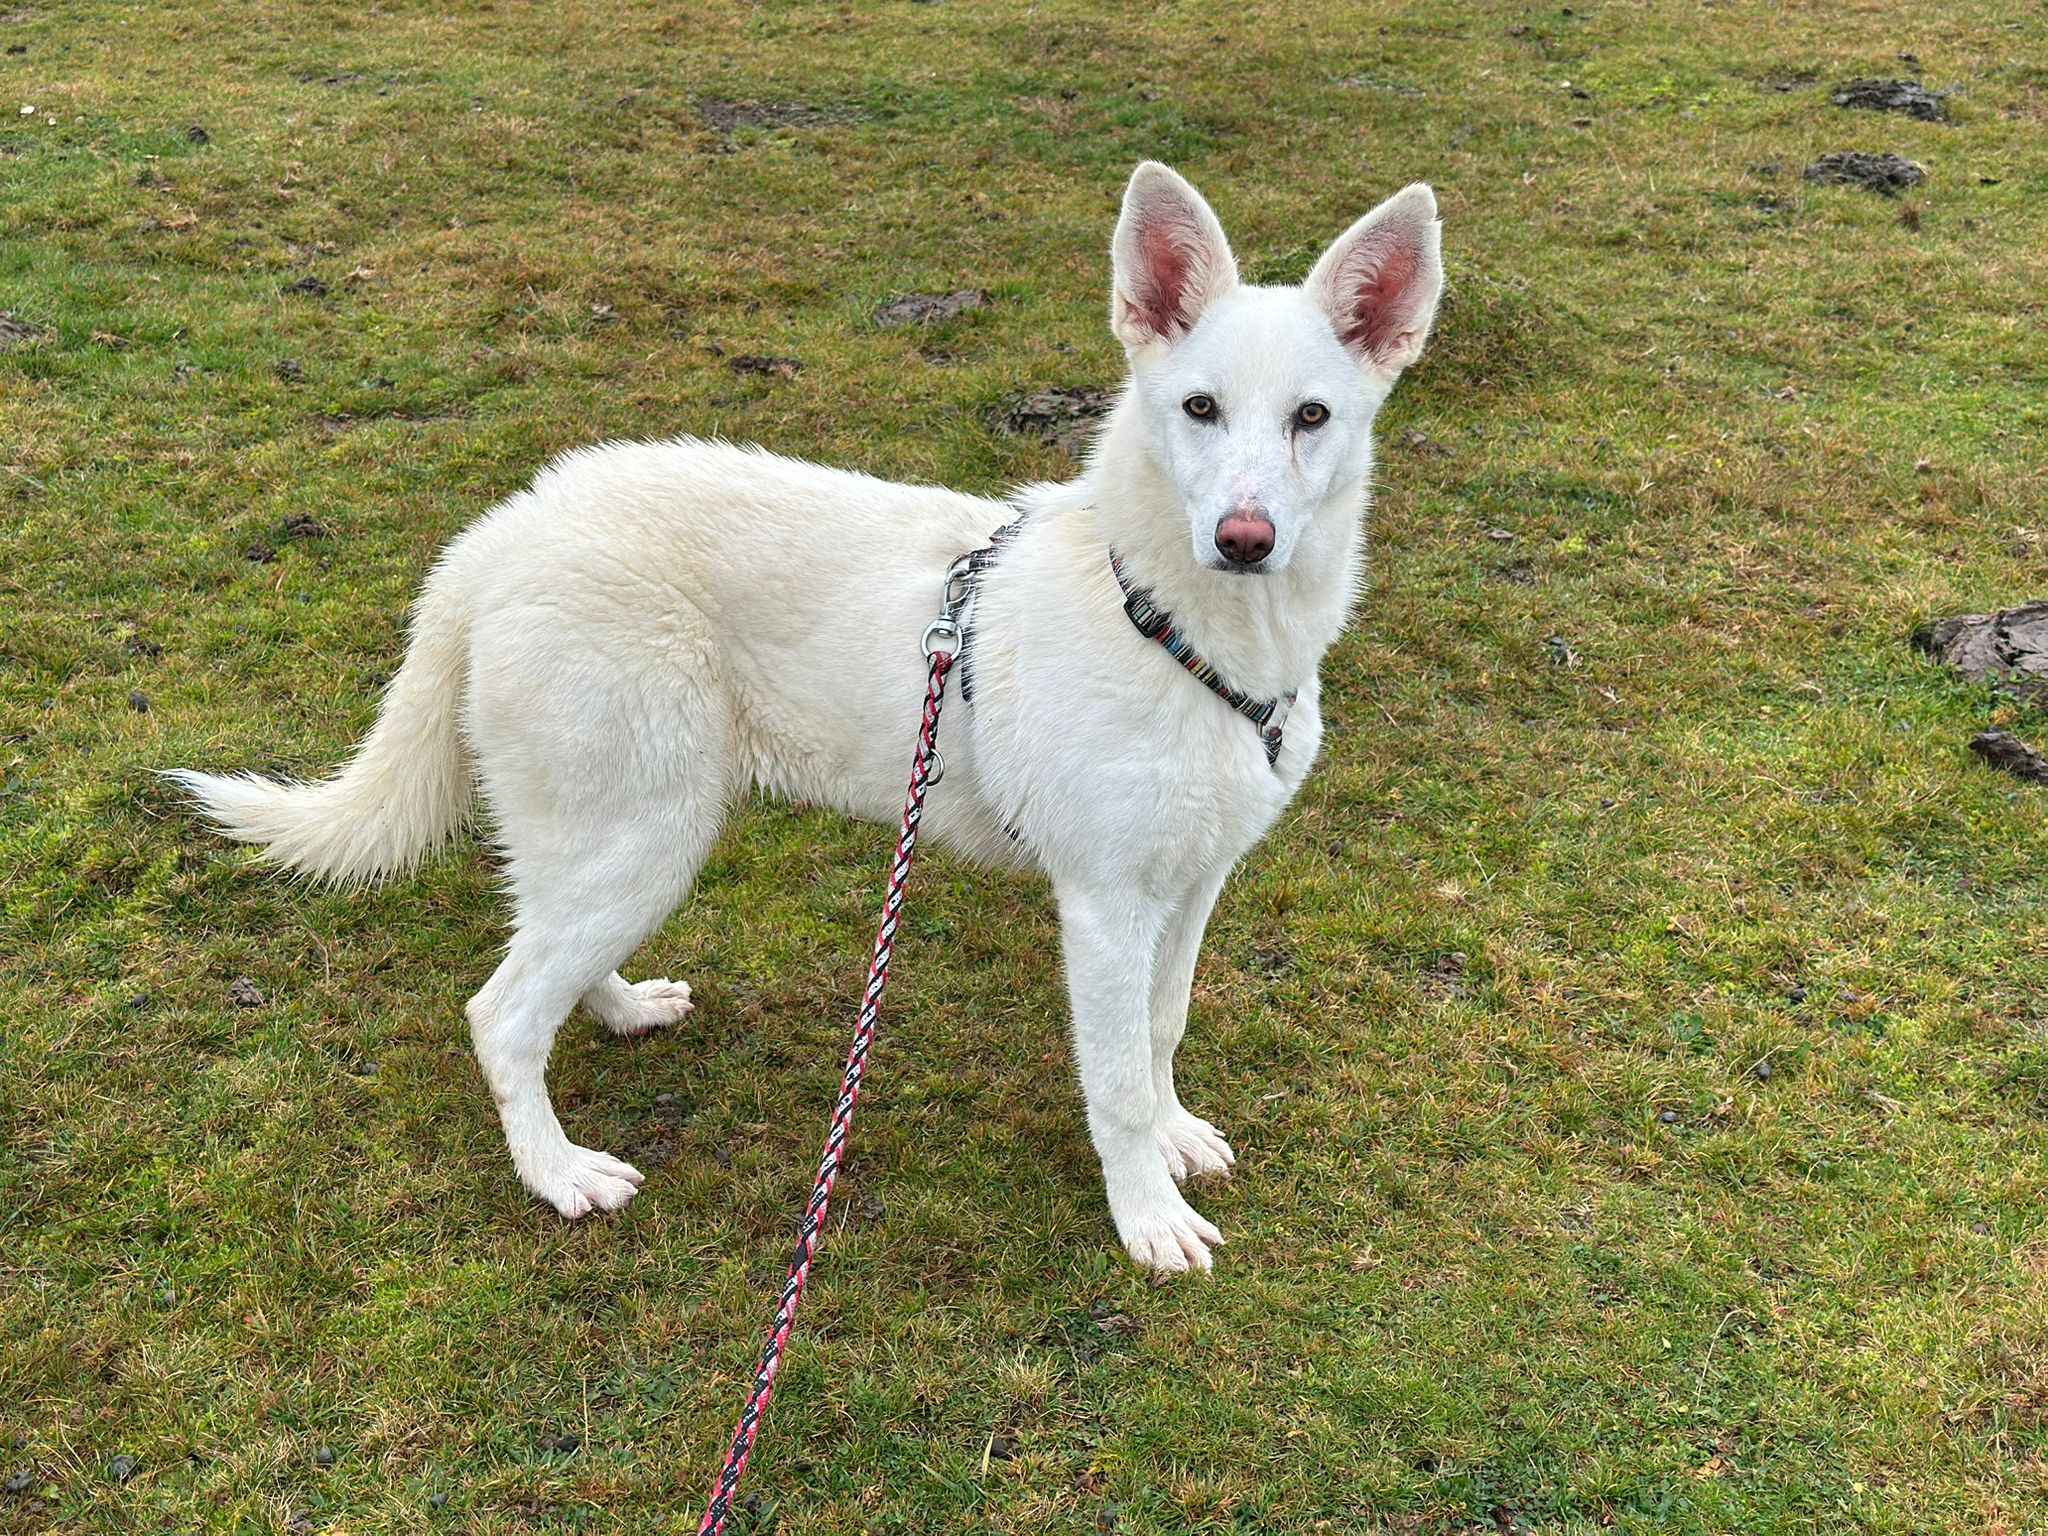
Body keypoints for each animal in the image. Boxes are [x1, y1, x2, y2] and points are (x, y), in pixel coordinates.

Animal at [172, 162, 1443, 1277]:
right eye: (1197, 409)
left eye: (1311, 417)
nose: (1244, 538)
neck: (1177, 628)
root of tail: (497, 533)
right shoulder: (1102, 905)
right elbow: (1116, 1080)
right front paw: (1146, 1218)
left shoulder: (1191, 884)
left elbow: (1162, 1027)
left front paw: (1176, 1140)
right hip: (643, 831)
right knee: (501, 1014)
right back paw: (558, 1174)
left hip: (623, 835)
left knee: (545, 957)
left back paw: (621, 1008)